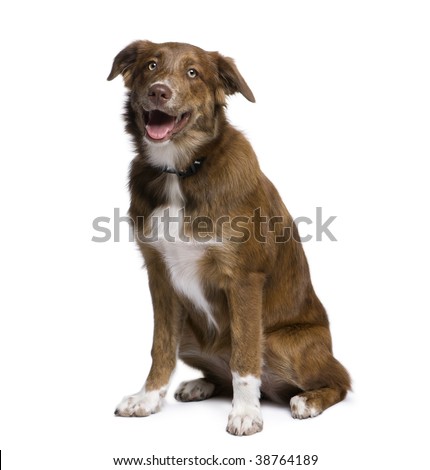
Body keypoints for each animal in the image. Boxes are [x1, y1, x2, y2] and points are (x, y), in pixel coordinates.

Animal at [106, 40, 350, 436]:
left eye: (193, 73)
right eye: (151, 66)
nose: (159, 91)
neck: (182, 170)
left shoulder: (244, 279)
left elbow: (245, 355)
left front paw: (246, 413)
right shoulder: (158, 273)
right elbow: (160, 347)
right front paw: (148, 398)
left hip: (283, 343)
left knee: (341, 379)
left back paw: (308, 400)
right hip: (191, 337)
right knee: (215, 368)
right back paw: (200, 384)